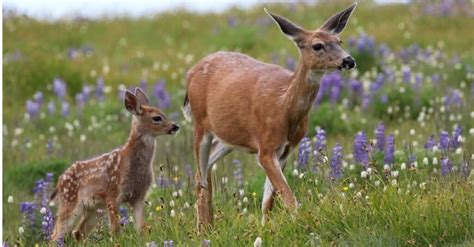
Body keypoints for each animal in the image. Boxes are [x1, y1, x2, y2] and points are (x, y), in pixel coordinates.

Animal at [183, 2, 358, 230]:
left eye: (339, 41)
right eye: (317, 45)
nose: (349, 60)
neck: (283, 107)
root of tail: (190, 74)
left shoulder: (285, 149)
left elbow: (269, 200)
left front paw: (266, 229)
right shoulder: (265, 146)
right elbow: (287, 195)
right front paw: (302, 225)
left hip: (228, 138)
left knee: (206, 168)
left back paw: (210, 224)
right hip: (200, 123)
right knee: (200, 176)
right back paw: (202, 229)